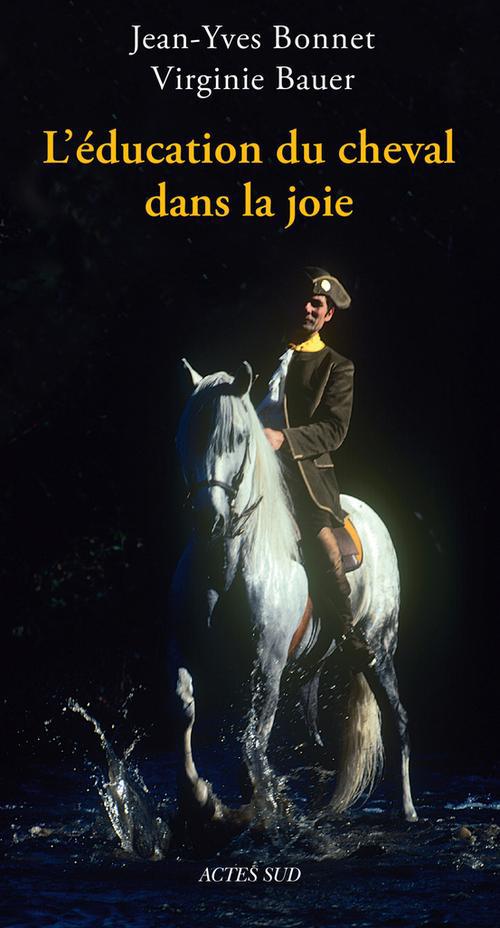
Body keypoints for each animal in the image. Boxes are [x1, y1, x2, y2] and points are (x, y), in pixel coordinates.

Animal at [168, 358, 417, 835]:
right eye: (187, 434)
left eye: (239, 437)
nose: (208, 518)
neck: (230, 563)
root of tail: (371, 516)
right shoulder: (189, 652)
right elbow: (184, 711)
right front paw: (199, 799)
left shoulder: (266, 666)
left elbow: (253, 744)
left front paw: (255, 809)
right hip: (308, 670)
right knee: (315, 738)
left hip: (380, 649)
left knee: (398, 720)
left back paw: (408, 810)